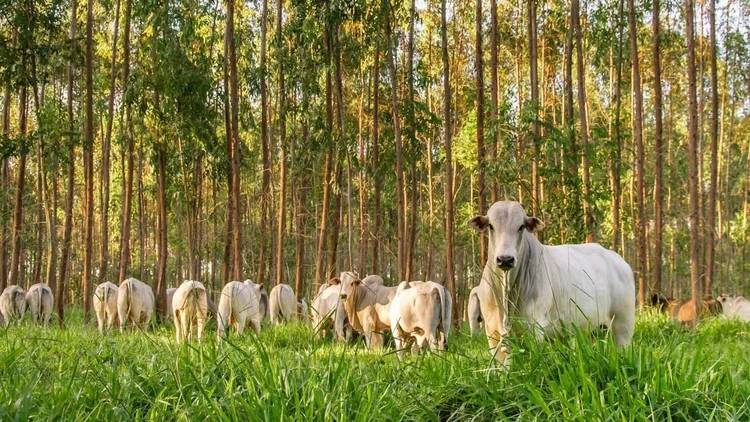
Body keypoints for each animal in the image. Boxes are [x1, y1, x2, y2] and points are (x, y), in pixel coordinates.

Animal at [470, 201, 636, 366]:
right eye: (491, 226)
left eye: (521, 226)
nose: (505, 259)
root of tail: (620, 261)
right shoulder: (493, 333)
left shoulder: (534, 329)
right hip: (594, 330)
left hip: (623, 325)